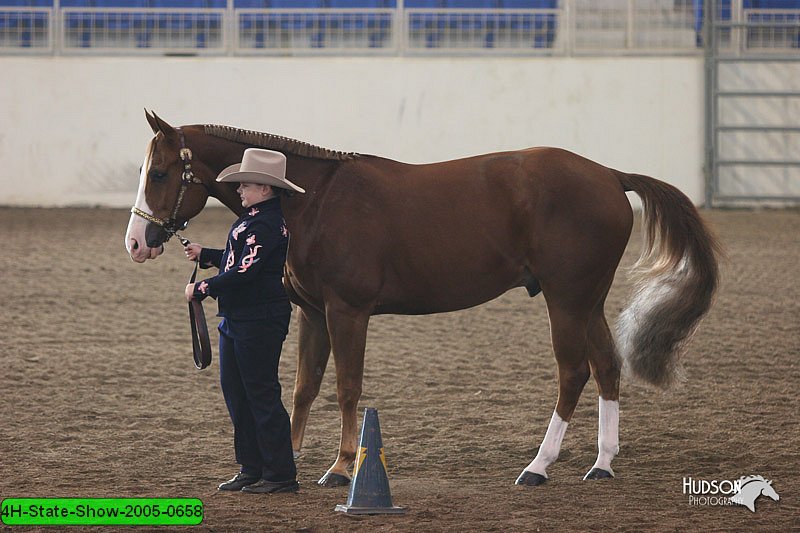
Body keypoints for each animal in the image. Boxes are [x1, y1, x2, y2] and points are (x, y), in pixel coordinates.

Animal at [125, 112, 720, 486]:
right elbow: (303, 388)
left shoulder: (347, 312)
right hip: (587, 301)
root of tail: (609, 176)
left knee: (573, 372)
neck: (311, 201)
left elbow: (345, 388)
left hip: (566, 301)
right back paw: (602, 464)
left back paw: (539, 466)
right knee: (607, 367)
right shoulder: (313, 313)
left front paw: (340, 468)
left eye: (161, 172)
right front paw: (285, 460)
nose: (137, 242)